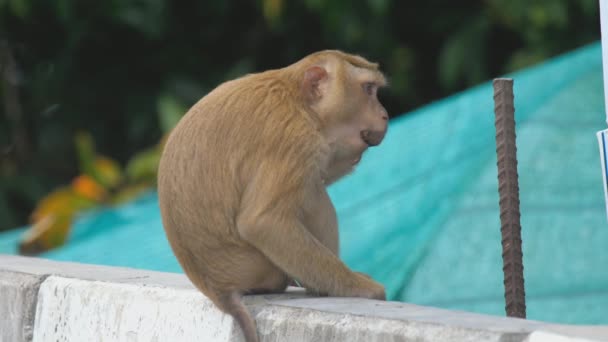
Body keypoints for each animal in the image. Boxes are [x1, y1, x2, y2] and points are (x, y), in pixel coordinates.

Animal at [157, 48, 390, 342]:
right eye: (368, 89)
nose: (384, 115)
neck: (299, 102)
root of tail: (219, 291)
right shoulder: (295, 140)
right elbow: (262, 222)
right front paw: (360, 288)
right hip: (254, 269)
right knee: (312, 193)